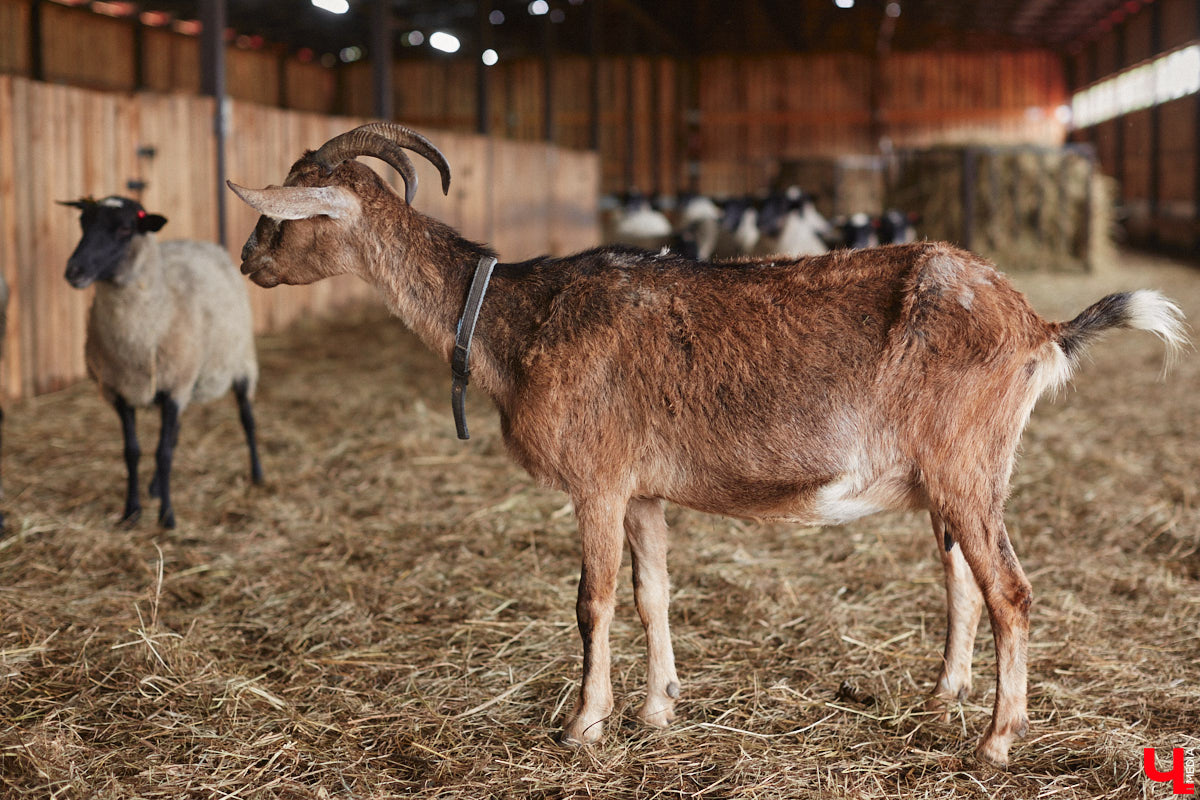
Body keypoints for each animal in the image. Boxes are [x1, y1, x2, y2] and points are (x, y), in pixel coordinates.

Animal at [60, 196, 262, 527]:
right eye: (83, 223)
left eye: (126, 228)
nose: (74, 270)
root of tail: (204, 243)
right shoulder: (120, 391)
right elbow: (132, 451)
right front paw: (131, 512)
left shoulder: (174, 388)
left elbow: (163, 453)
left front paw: (167, 517)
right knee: (176, 433)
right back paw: (155, 488)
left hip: (240, 360)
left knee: (247, 418)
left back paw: (258, 474)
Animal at [226, 122, 1190, 767]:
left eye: (288, 211)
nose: (246, 262)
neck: (513, 315)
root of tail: (1038, 325)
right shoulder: (644, 488)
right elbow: (653, 593)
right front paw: (658, 709)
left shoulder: (598, 480)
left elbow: (593, 601)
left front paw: (584, 724)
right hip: (952, 478)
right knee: (963, 580)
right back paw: (942, 696)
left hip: (968, 466)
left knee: (1012, 593)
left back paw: (995, 741)